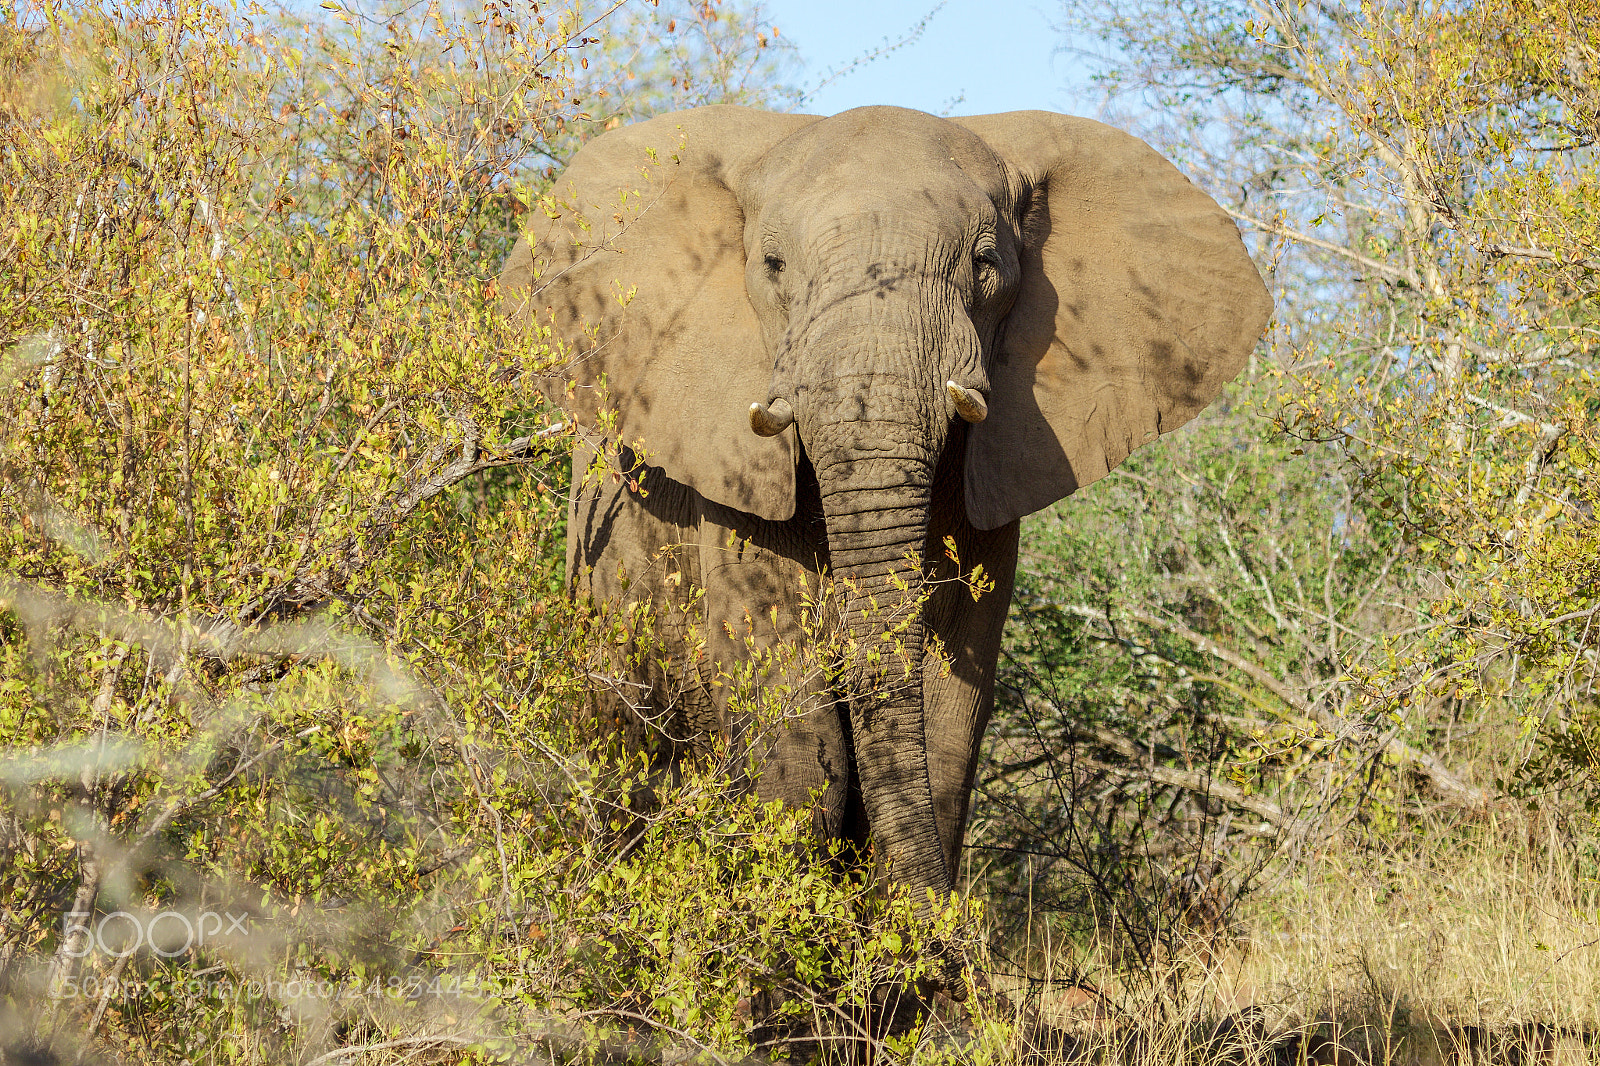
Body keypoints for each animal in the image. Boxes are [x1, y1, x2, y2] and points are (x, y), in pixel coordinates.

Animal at [499, 104, 1271, 940]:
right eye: (772, 264)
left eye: (986, 264)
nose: (957, 950)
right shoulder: (733, 471)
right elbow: (798, 733)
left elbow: (947, 719)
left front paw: (905, 969)